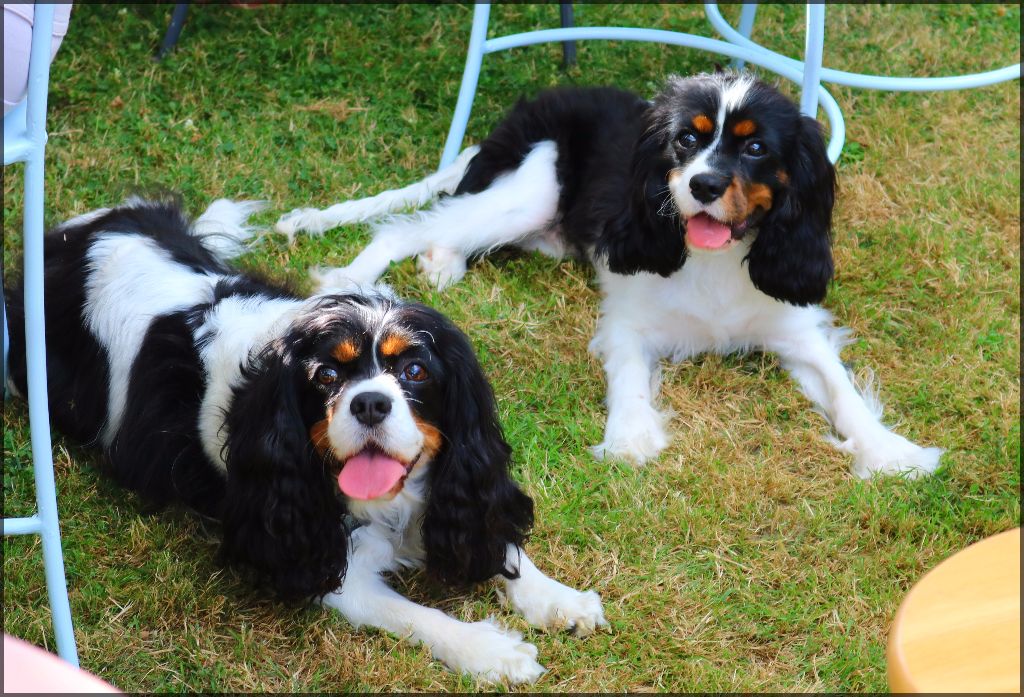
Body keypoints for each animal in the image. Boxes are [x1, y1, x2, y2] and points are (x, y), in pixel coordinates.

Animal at [4, 195, 602, 683]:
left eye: (415, 372)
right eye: (327, 376)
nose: (369, 403)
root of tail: (84, 231)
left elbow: (502, 544)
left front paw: (560, 599)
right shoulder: (323, 558)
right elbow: (414, 614)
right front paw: (490, 651)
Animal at [278, 74, 942, 478]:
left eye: (755, 150)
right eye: (686, 140)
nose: (703, 184)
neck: (713, 256)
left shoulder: (796, 327)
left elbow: (841, 387)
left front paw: (890, 451)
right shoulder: (628, 319)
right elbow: (628, 375)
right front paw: (630, 438)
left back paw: (444, 262)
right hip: (530, 188)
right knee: (407, 227)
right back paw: (355, 282)